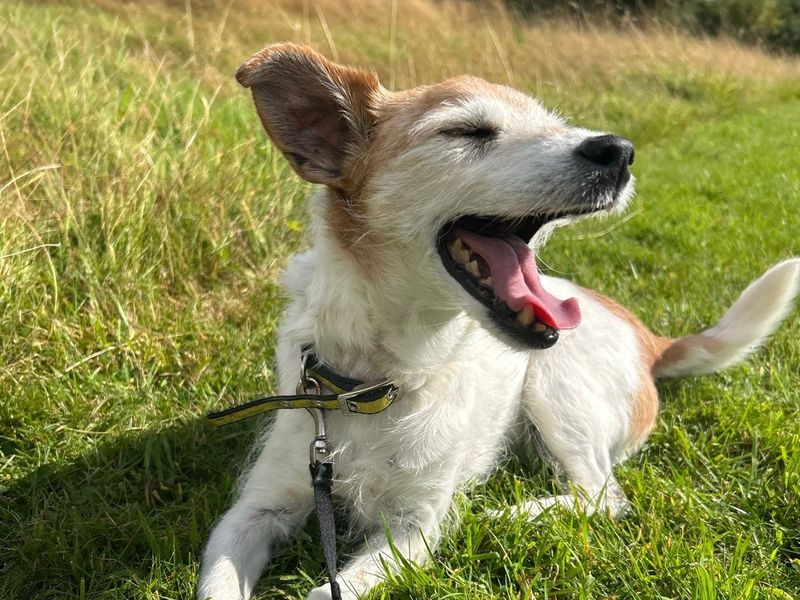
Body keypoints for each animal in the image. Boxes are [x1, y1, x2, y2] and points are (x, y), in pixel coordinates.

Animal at [195, 43, 800, 600]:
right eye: (467, 131)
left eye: (553, 123)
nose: (620, 150)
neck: (371, 385)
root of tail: (649, 337)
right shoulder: (257, 507)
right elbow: (220, 578)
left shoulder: (413, 529)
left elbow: (330, 590)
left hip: (556, 390)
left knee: (603, 497)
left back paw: (513, 513)